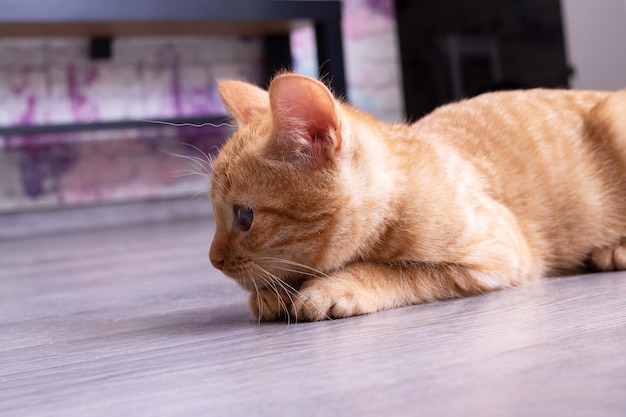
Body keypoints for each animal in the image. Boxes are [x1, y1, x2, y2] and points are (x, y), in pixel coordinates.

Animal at [208, 72, 624, 322]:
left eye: (244, 217)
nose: (213, 260)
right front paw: (274, 293)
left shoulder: (498, 256)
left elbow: (395, 270)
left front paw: (334, 285)